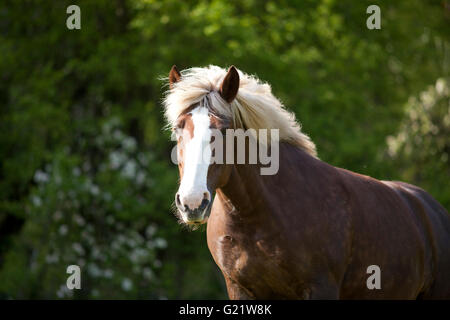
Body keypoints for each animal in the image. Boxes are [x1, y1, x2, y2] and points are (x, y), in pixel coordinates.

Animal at [164, 63, 450, 298]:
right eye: (178, 127)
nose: (192, 203)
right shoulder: (240, 289)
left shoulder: (320, 288)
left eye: (223, 130)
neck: (259, 215)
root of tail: (431, 209)